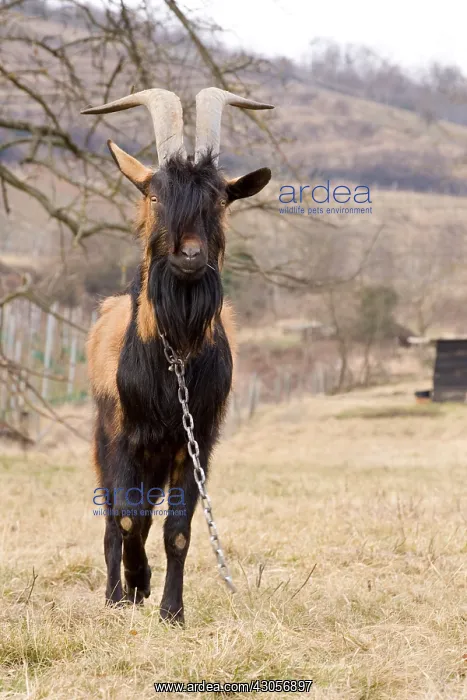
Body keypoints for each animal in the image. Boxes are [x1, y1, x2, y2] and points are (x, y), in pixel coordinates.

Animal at [82, 87, 273, 623]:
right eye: (154, 195)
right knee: (116, 520)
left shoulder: (197, 441)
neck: (174, 363)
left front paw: (171, 609)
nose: (189, 257)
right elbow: (128, 522)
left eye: (220, 199)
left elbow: (178, 530)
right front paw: (130, 587)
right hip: (106, 443)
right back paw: (117, 592)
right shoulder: (124, 437)